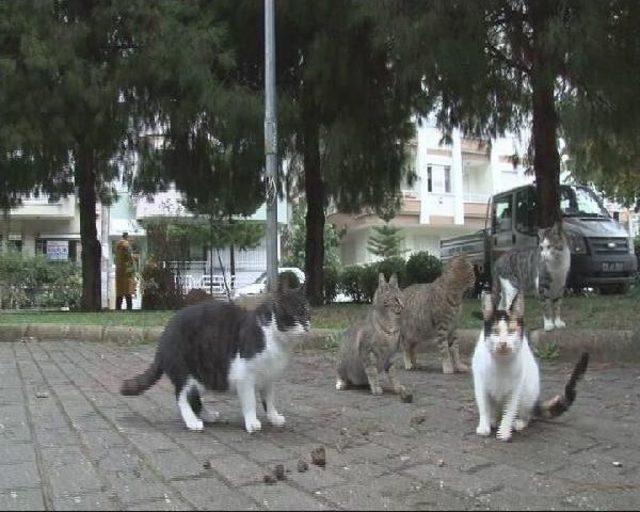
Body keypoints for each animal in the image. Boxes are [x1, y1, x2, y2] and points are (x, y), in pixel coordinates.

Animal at [121, 278, 312, 434]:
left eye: (308, 313)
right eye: (297, 314)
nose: (307, 325)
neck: (274, 337)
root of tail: (163, 338)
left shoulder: (269, 377)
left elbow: (269, 400)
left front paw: (274, 417)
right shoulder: (244, 376)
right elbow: (250, 401)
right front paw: (252, 422)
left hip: (203, 376)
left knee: (193, 398)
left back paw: (208, 416)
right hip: (186, 372)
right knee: (182, 397)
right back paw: (192, 422)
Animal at [336, 272, 410, 400]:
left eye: (402, 297)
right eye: (395, 299)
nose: (404, 305)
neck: (391, 325)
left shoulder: (392, 355)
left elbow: (393, 375)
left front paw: (397, 387)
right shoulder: (367, 351)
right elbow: (372, 372)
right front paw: (376, 388)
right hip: (342, 363)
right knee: (341, 376)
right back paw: (342, 384)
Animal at [470, 290, 592, 442]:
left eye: (511, 331)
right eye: (495, 331)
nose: (503, 343)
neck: (501, 362)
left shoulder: (516, 387)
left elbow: (510, 410)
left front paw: (504, 432)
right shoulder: (480, 384)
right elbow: (484, 407)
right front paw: (484, 426)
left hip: (528, 392)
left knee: (526, 414)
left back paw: (518, 422)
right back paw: (494, 420)